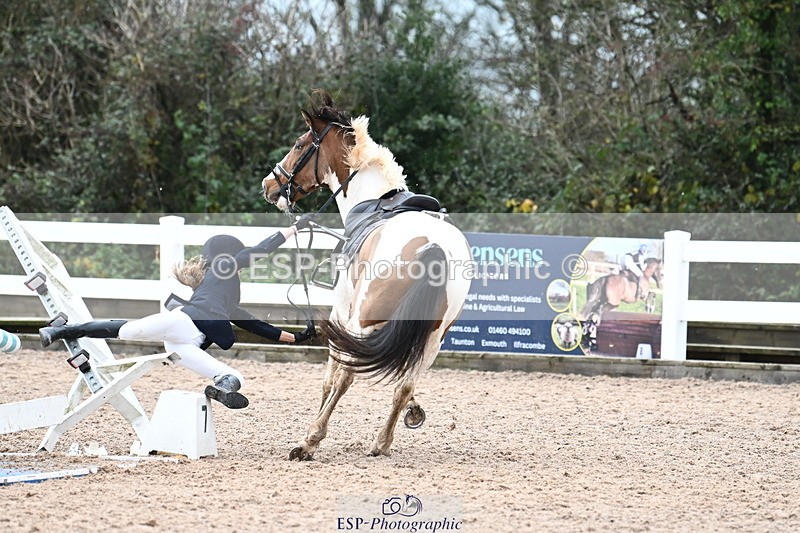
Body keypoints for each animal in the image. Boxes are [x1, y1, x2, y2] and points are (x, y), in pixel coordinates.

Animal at [261, 90, 472, 460]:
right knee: (404, 385)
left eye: (300, 144)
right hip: (433, 338)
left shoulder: (342, 314)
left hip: (363, 320)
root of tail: (433, 245)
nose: (269, 184)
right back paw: (382, 442)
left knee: (347, 377)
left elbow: (331, 379)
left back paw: (310, 440)